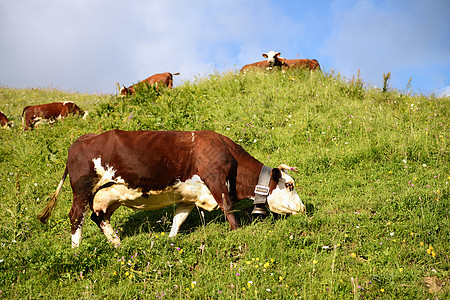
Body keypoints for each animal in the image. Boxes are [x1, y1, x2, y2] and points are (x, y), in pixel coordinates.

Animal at [37, 130, 306, 247]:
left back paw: (117, 244)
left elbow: (179, 218)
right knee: (76, 217)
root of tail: (81, 139)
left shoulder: (189, 194)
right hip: (82, 189)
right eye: (289, 185)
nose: (303, 208)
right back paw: (76, 251)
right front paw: (238, 233)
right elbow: (228, 208)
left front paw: (170, 241)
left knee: (98, 217)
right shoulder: (216, 179)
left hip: (108, 193)